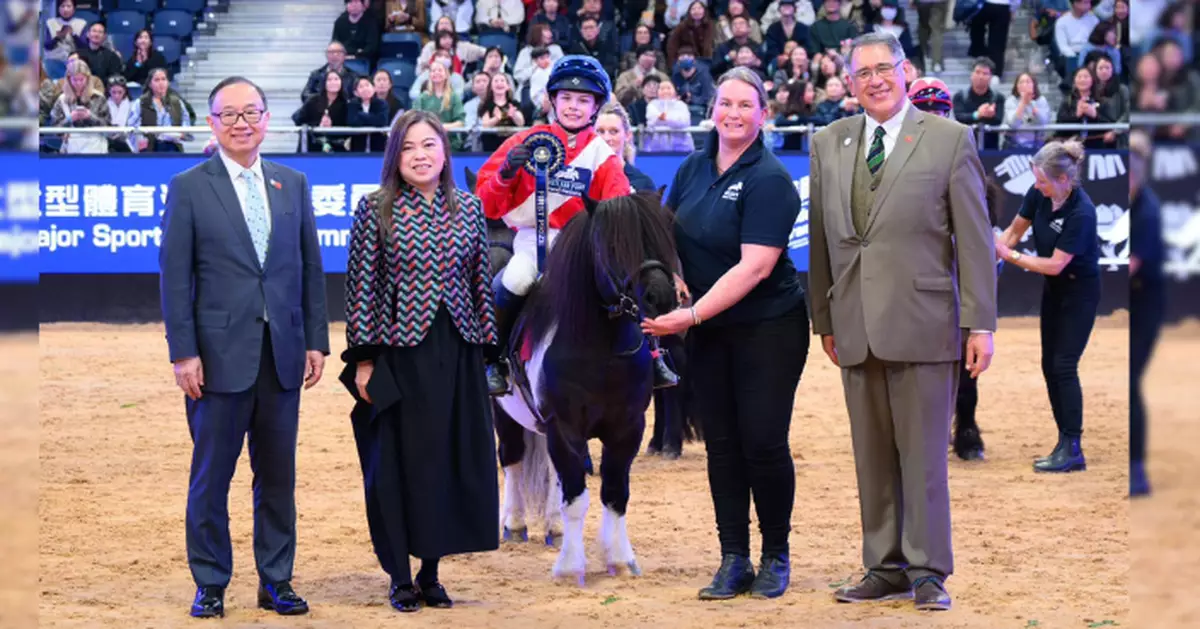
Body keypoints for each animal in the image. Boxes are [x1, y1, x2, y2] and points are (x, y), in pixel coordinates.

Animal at [489, 192, 680, 583]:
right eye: (615, 245)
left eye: (663, 236)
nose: (661, 298)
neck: (602, 352)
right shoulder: (564, 427)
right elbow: (576, 497)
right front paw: (569, 567)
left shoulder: (628, 428)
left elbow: (614, 493)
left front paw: (621, 560)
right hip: (506, 413)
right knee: (512, 458)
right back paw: (514, 524)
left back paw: (553, 527)